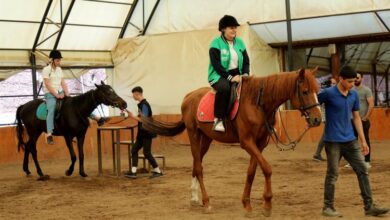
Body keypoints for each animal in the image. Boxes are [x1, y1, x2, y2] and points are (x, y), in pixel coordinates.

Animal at [142, 69, 322, 217]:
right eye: (305, 91)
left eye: (317, 91)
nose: (317, 119)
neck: (257, 103)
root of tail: (189, 96)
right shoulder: (247, 142)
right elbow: (267, 169)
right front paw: (267, 204)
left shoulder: (259, 144)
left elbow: (251, 172)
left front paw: (247, 204)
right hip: (193, 134)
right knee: (199, 167)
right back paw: (206, 202)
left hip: (206, 138)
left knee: (196, 163)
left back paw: (194, 197)